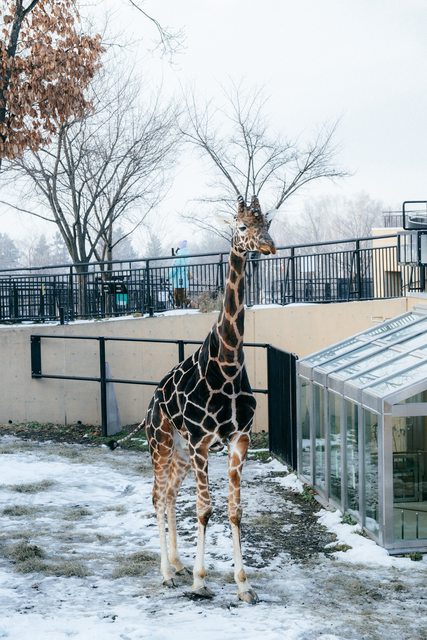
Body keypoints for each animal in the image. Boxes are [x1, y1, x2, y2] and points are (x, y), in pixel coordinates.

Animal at [110, 194, 275, 604]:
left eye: (267, 223)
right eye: (242, 226)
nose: (269, 246)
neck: (228, 363)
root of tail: (151, 403)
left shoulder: (239, 439)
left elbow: (234, 511)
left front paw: (243, 586)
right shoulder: (202, 442)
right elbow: (204, 509)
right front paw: (201, 582)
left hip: (180, 455)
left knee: (169, 494)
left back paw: (178, 564)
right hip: (161, 443)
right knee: (156, 495)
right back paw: (168, 574)